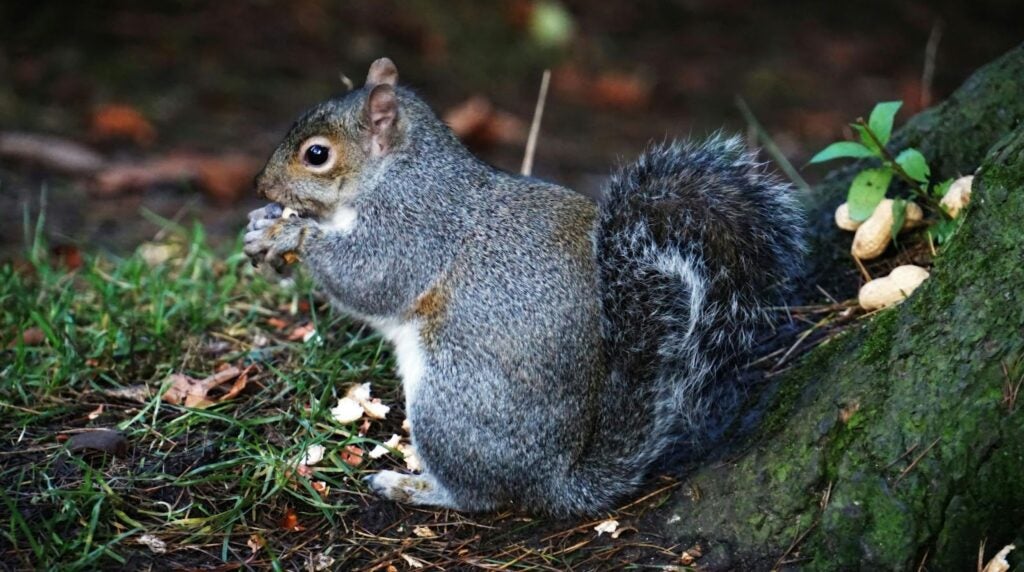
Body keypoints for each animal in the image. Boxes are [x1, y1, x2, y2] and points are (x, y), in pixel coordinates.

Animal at [244, 58, 805, 517]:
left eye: (317, 154)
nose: (261, 187)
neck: (397, 170)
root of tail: (553, 482)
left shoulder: (415, 227)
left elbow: (371, 278)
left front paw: (290, 233)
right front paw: (263, 221)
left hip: (450, 403)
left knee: (480, 496)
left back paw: (413, 487)